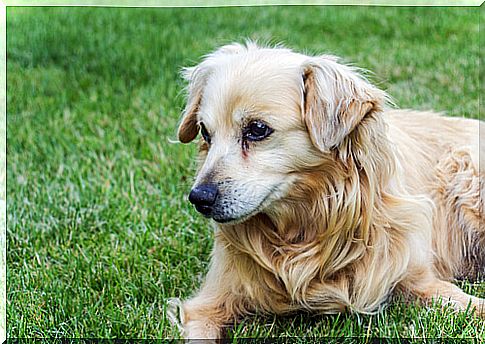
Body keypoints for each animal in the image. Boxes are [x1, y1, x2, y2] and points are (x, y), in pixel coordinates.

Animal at [172, 42, 482, 338]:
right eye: (205, 132)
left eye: (257, 129)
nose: (198, 198)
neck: (304, 229)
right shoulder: (206, 305)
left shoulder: (416, 278)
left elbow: (463, 302)